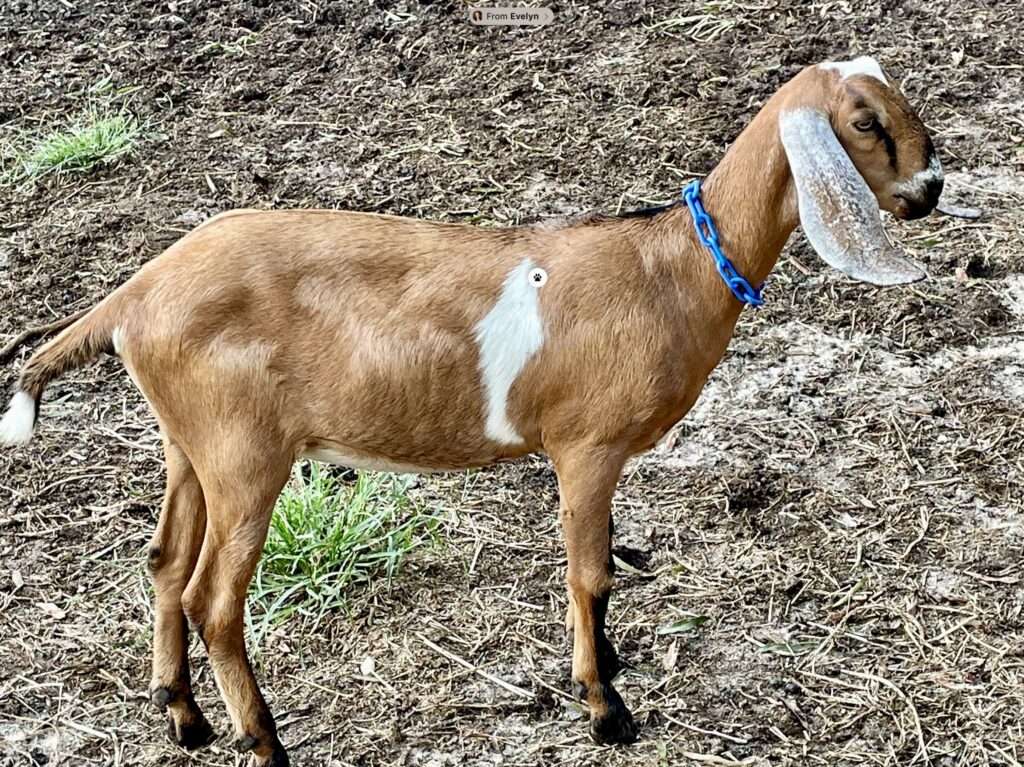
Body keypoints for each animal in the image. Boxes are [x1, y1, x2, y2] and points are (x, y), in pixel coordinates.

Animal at [0, 56, 942, 761]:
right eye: (865, 123)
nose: (930, 189)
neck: (668, 267)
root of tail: (131, 296)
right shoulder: (587, 445)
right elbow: (591, 573)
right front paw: (606, 708)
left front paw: (602, 672)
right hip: (244, 453)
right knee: (214, 599)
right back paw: (264, 741)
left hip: (188, 441)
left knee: (163, 561)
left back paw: (185, 717)